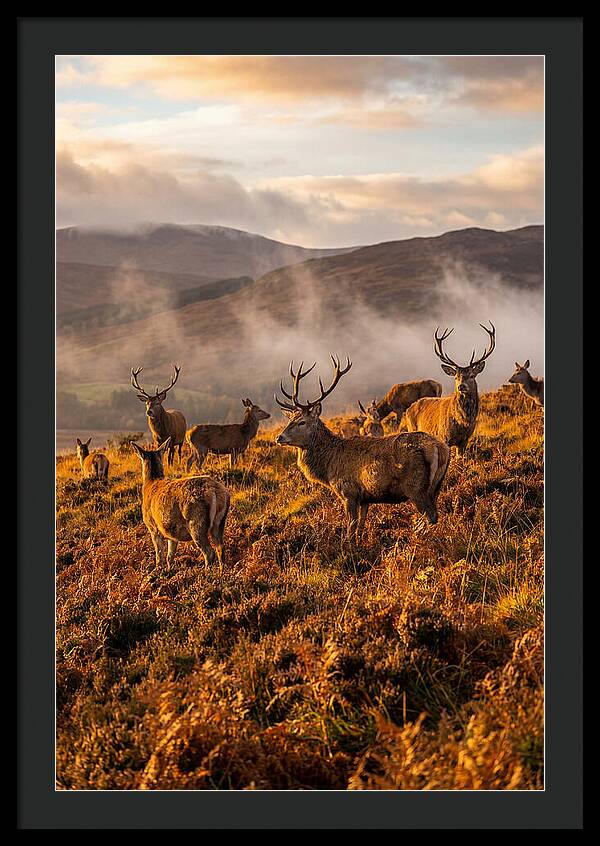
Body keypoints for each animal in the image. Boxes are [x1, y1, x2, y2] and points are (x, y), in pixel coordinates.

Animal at [132, 437, 230, 572]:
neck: (151, 483)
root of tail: (216, 492)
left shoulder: (153, 527)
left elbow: (159, 556)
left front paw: (158, 571)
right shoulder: (170, 532)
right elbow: (170, 556)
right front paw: (169, 570)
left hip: (196, 522)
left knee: (209, 552)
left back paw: (206, 573)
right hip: (219, 522)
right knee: (220, 547)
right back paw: (221, 572)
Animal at [274, 356, 450, 542]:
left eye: (302, 422)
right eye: (290, 420)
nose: (279, 437)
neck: (328, 467)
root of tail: (440, 448)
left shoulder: (348, 492)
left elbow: (351, 528)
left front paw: (348, 546)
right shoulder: (365, 498)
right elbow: (360, 526)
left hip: (416, 487)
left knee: (431, 516)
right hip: (437, 485)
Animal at [404, 322, 496, 455]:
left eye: (472, 375)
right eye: (456, 377)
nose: (461, 386)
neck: (463, 423)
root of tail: (408, 409)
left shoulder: (465, 440)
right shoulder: (444, 436)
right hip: (412, 428)